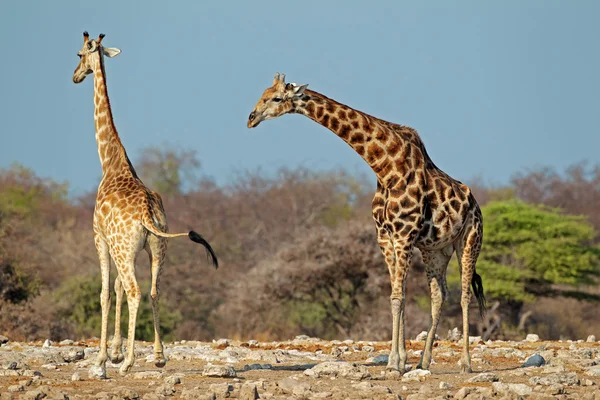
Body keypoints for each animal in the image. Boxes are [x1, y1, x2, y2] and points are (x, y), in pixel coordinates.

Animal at [72, 32, 218, 378]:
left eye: (79, 54)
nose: (75, 75)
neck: (111, 162)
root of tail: (147, 214)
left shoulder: (100, 238)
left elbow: (106, 293)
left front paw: (103, 358)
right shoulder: (129, 248)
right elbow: (118, 290)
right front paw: (115, 350)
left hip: (126, 249)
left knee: (136, 291)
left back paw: (128, 363)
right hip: (157, 248)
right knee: (152, 290)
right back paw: (159, 356)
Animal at [248, 72, 488, 376]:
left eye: (276, 98)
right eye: (262, 95)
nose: (251, 117)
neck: (385, 168)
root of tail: (476, 205)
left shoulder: (404, 236)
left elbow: (398, 297)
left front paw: (395, 364)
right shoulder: (385, 237)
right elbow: (398, 296)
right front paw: (398, 361)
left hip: (469, 240)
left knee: (465, 295)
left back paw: (466, 363)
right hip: (435, 250)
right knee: (439, 295)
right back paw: (423, 361)